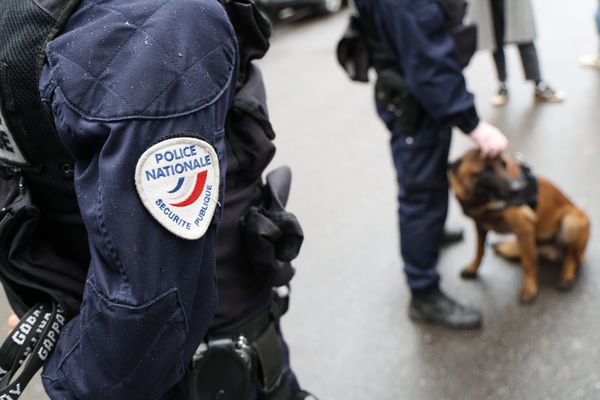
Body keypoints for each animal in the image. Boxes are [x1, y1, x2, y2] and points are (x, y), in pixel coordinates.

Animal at [448, 149, 588, 304]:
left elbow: (528, 262)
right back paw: (504, 246)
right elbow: (479, 250)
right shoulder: (480, 225)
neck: (482, 203)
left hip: (571, 220)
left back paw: (567, 276)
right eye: (486, 170)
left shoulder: (523, 227)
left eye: (503, 165)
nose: (517, 189)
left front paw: (530, 288)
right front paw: (473, 268)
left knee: (572, 257)